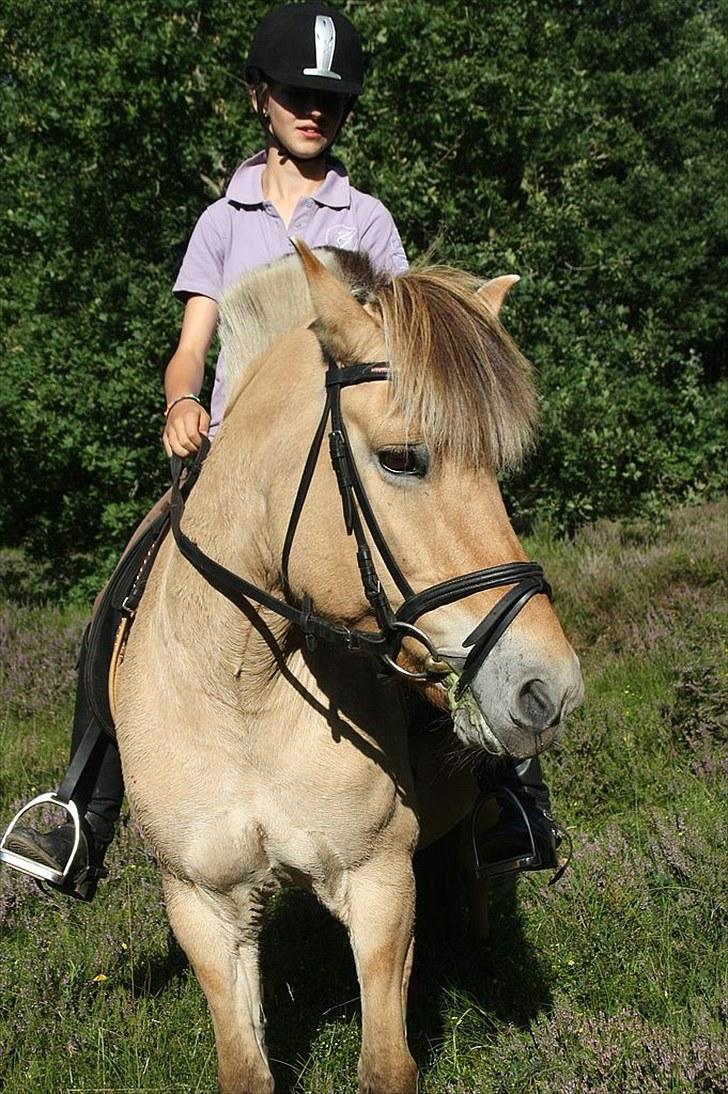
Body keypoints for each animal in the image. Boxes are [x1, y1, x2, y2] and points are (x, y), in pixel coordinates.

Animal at [113, 241, 582, 1094]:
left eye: (498, 470)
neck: (243, 688)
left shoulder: (378, 883)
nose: (549, 690)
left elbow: (386, 1063)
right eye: (401, 458)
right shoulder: (203, 906)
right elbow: (246, 1067)